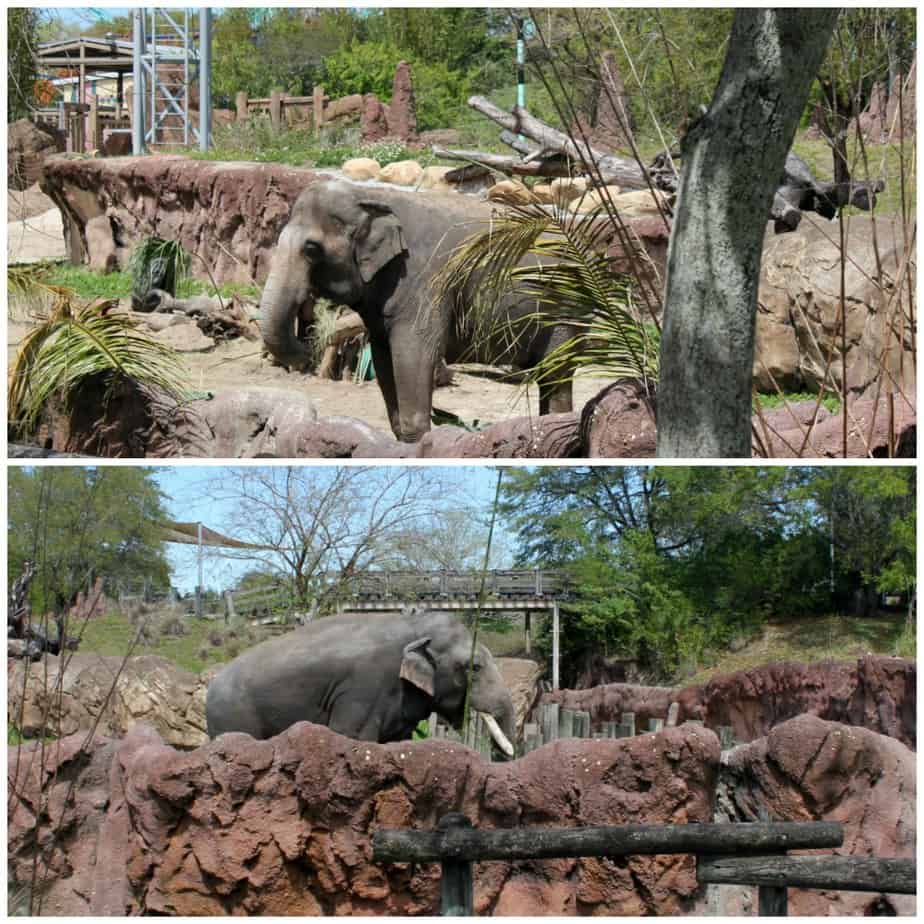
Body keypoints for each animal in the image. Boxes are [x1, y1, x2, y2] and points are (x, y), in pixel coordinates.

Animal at [260, 180, 572, 444]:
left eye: (312, 249)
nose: (306, 351)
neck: (369, 196)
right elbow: (383, 354)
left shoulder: (424, 279)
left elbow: (414, 350)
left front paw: (419, 442)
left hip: (562, 310)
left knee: (557, 371)